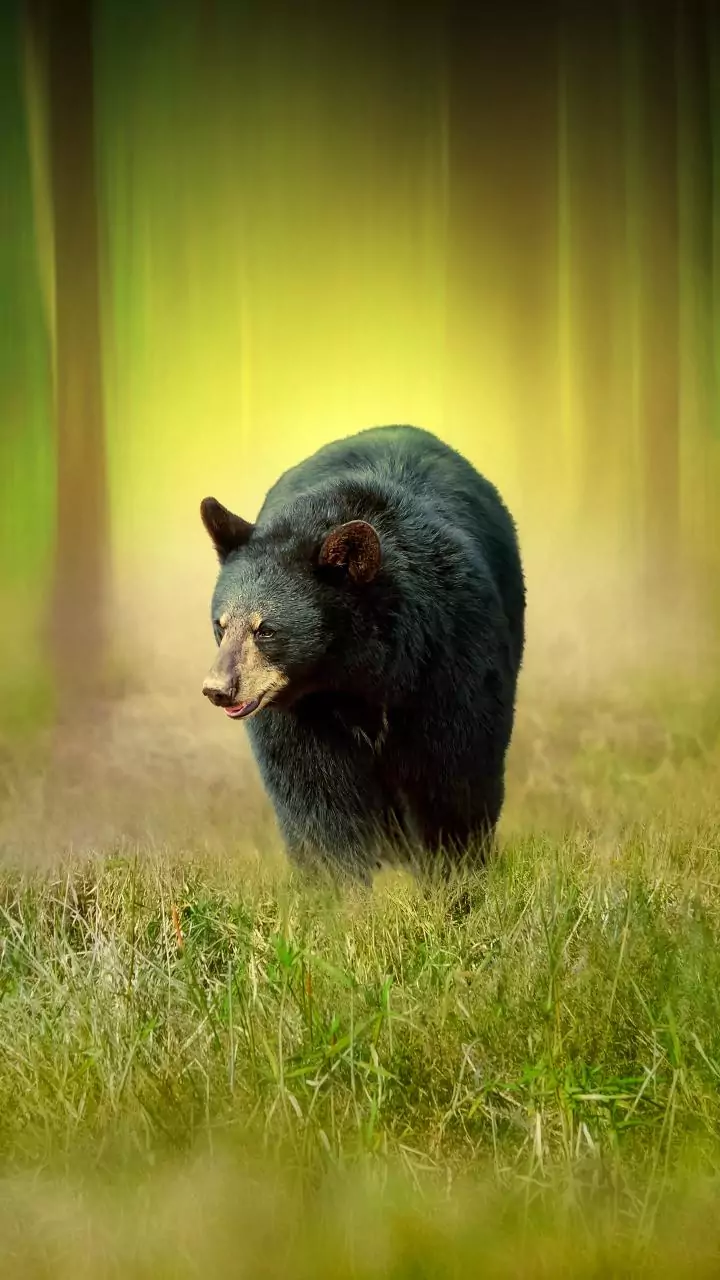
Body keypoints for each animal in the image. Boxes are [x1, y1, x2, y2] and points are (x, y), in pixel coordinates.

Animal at [200, 424, 525, 880]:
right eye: (221, 624)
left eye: (266, 629)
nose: (218, 689)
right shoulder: (303, 714)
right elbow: (317, 799)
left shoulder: (449, 660)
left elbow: (453, 779)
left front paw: (456, 874)